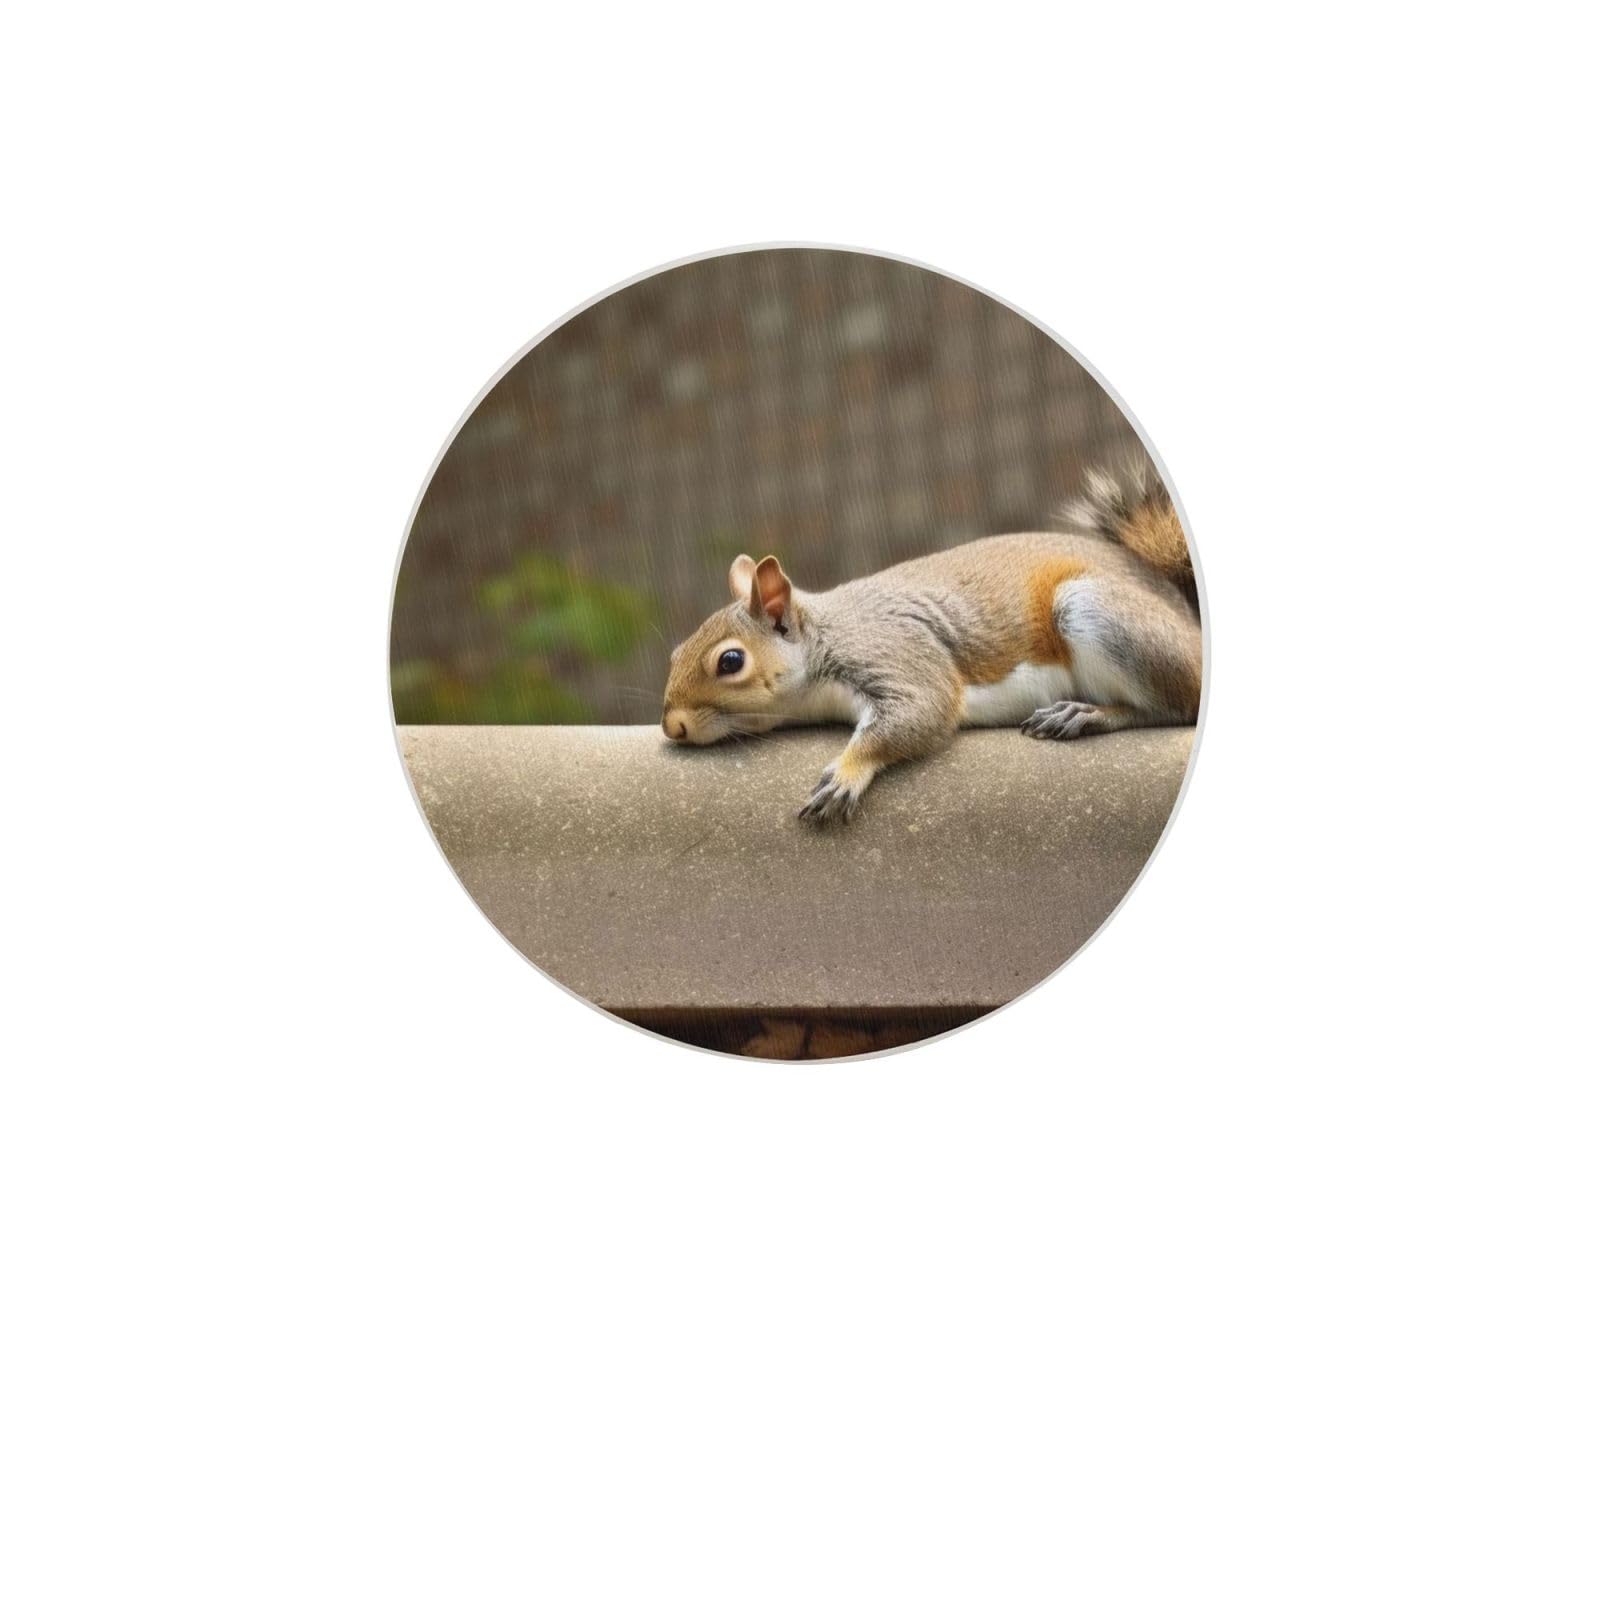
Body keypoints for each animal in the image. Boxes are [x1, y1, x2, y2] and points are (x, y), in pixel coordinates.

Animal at [661, 459, 1202, 823]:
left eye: (730, 661)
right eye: (674, 653)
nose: (673, 726)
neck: (825, 634)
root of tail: (1182, 613)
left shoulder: (894, 651)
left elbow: (921, 710)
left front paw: (846, 773)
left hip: (1096, 612)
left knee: (1177, 705)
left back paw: (1086, 714)